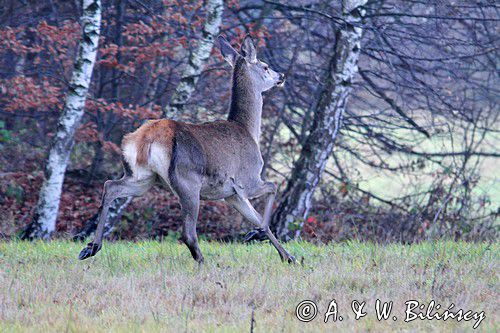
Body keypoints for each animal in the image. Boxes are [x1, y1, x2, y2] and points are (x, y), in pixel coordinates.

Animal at [79, 35, 296, 264]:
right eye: (265, 66)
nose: (281, 76)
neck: (248, 130)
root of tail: (147, 138)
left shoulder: (231, 194)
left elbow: (256, 216)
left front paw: (288, 256)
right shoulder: (247, 180)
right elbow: (273, 187)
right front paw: (258, 233)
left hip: (143, 177)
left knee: (111, 186)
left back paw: (90, 247)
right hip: (187, 181)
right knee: (188, 233)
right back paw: (204, 263)